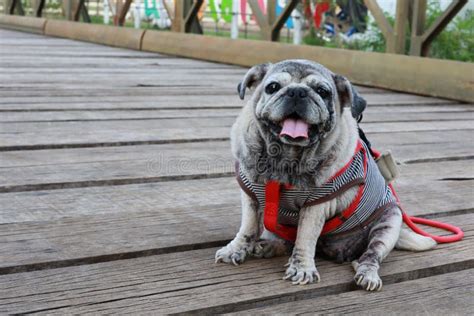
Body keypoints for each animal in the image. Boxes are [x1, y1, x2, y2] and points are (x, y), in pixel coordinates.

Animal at [215, 59, 436, 292]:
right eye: (272, 87)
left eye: (322, 92)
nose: (297, 92)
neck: (286, 157)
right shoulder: (251, 196)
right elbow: (247, 227)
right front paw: (235, 249)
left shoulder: (316, 205)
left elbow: (305, 238)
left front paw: (301, 269)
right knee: (285, 240)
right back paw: (268, 246)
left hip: (390, 221)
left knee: (371, 254)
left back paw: (367, 273)